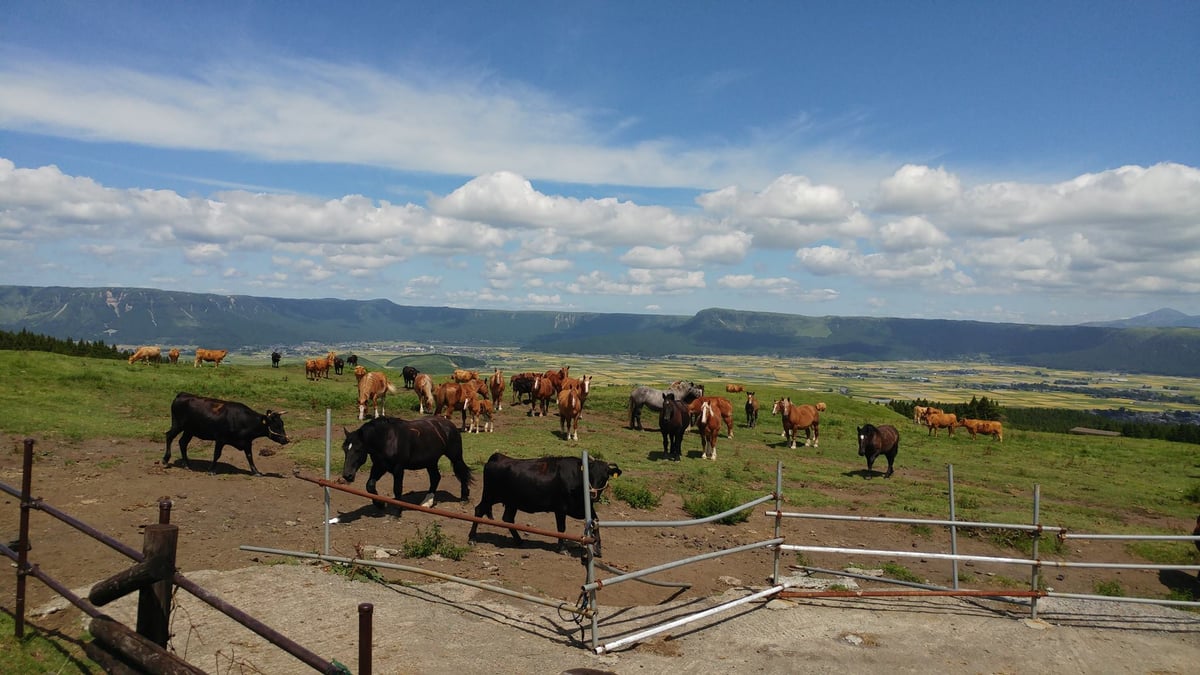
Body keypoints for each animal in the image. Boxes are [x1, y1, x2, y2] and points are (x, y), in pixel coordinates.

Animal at [343, 415, 472, 509]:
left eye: (358, 449)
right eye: (344, 449)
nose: (347, 475)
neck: (387, 439)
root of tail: (448, 424)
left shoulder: (398, 468)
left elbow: (397, 489)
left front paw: (397, 510)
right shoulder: (379, 466)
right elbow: (369, 486)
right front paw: (380, 504)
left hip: (455, 457)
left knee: (462, 472)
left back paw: (464, 498)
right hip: (431, 461)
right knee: (435, 477)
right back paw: (427, 502)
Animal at [465, 451, 624, 552]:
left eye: (604, 477)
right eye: (589, 475)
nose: (592, 495)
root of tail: (498, 457)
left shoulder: (584, 508)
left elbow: (596, 521)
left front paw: (598, 547)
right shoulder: (560, 508)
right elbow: (561, 529)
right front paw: (562, 548)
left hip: (512, 502)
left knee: (507, 518)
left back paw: (519, 540)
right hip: (490, 496)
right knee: (479, 511)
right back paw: (472, 538)